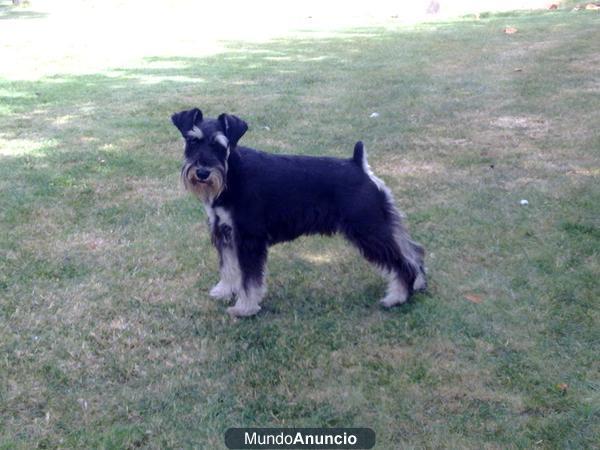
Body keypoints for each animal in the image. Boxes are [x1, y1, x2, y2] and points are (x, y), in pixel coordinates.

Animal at [170, 108, 426, 316]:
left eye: (220, 146)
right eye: (192, 141)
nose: (202, 172)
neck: (232, 174)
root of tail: (359, 166)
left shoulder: (248, 238)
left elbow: (249, 278)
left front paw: (245, 307)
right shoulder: (224, 233)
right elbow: (229, 267)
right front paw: (224, 291)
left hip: (369, 230)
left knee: (401, 262)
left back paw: (397, 297)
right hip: (380, 224)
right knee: (412, 251)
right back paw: (418, 284)